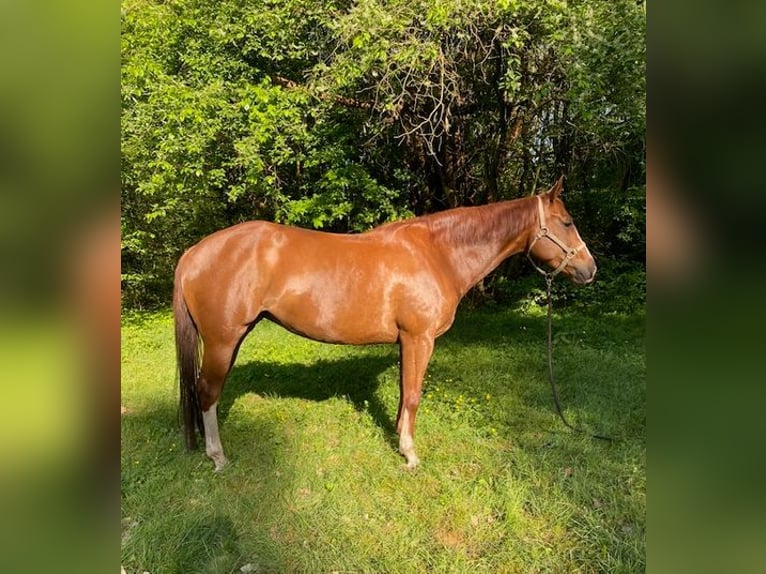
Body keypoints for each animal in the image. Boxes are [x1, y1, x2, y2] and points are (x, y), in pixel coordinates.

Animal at [176, 178, 600, 470]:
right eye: (566, 222)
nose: (589, 269)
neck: (437, 253)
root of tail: (195, 251)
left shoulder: (405, 342)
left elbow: (402, 393)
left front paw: (399, 438)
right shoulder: (419, 339)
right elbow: (413, 395)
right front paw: (410, 455)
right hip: (222, 341)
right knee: (207, 392)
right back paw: (218, 457)